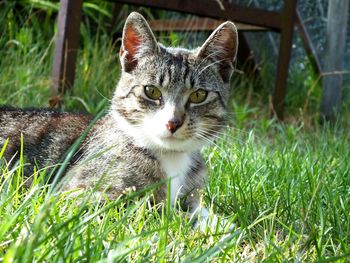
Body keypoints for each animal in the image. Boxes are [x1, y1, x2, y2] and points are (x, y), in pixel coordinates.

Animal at [0, 11, 238, 227]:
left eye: (199, 95)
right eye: (151, 91)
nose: (173, 122)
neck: (171, 157)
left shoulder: (192, 194)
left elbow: (201, 209)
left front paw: (218, 222)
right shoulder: (77, 196)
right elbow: (156, 209)